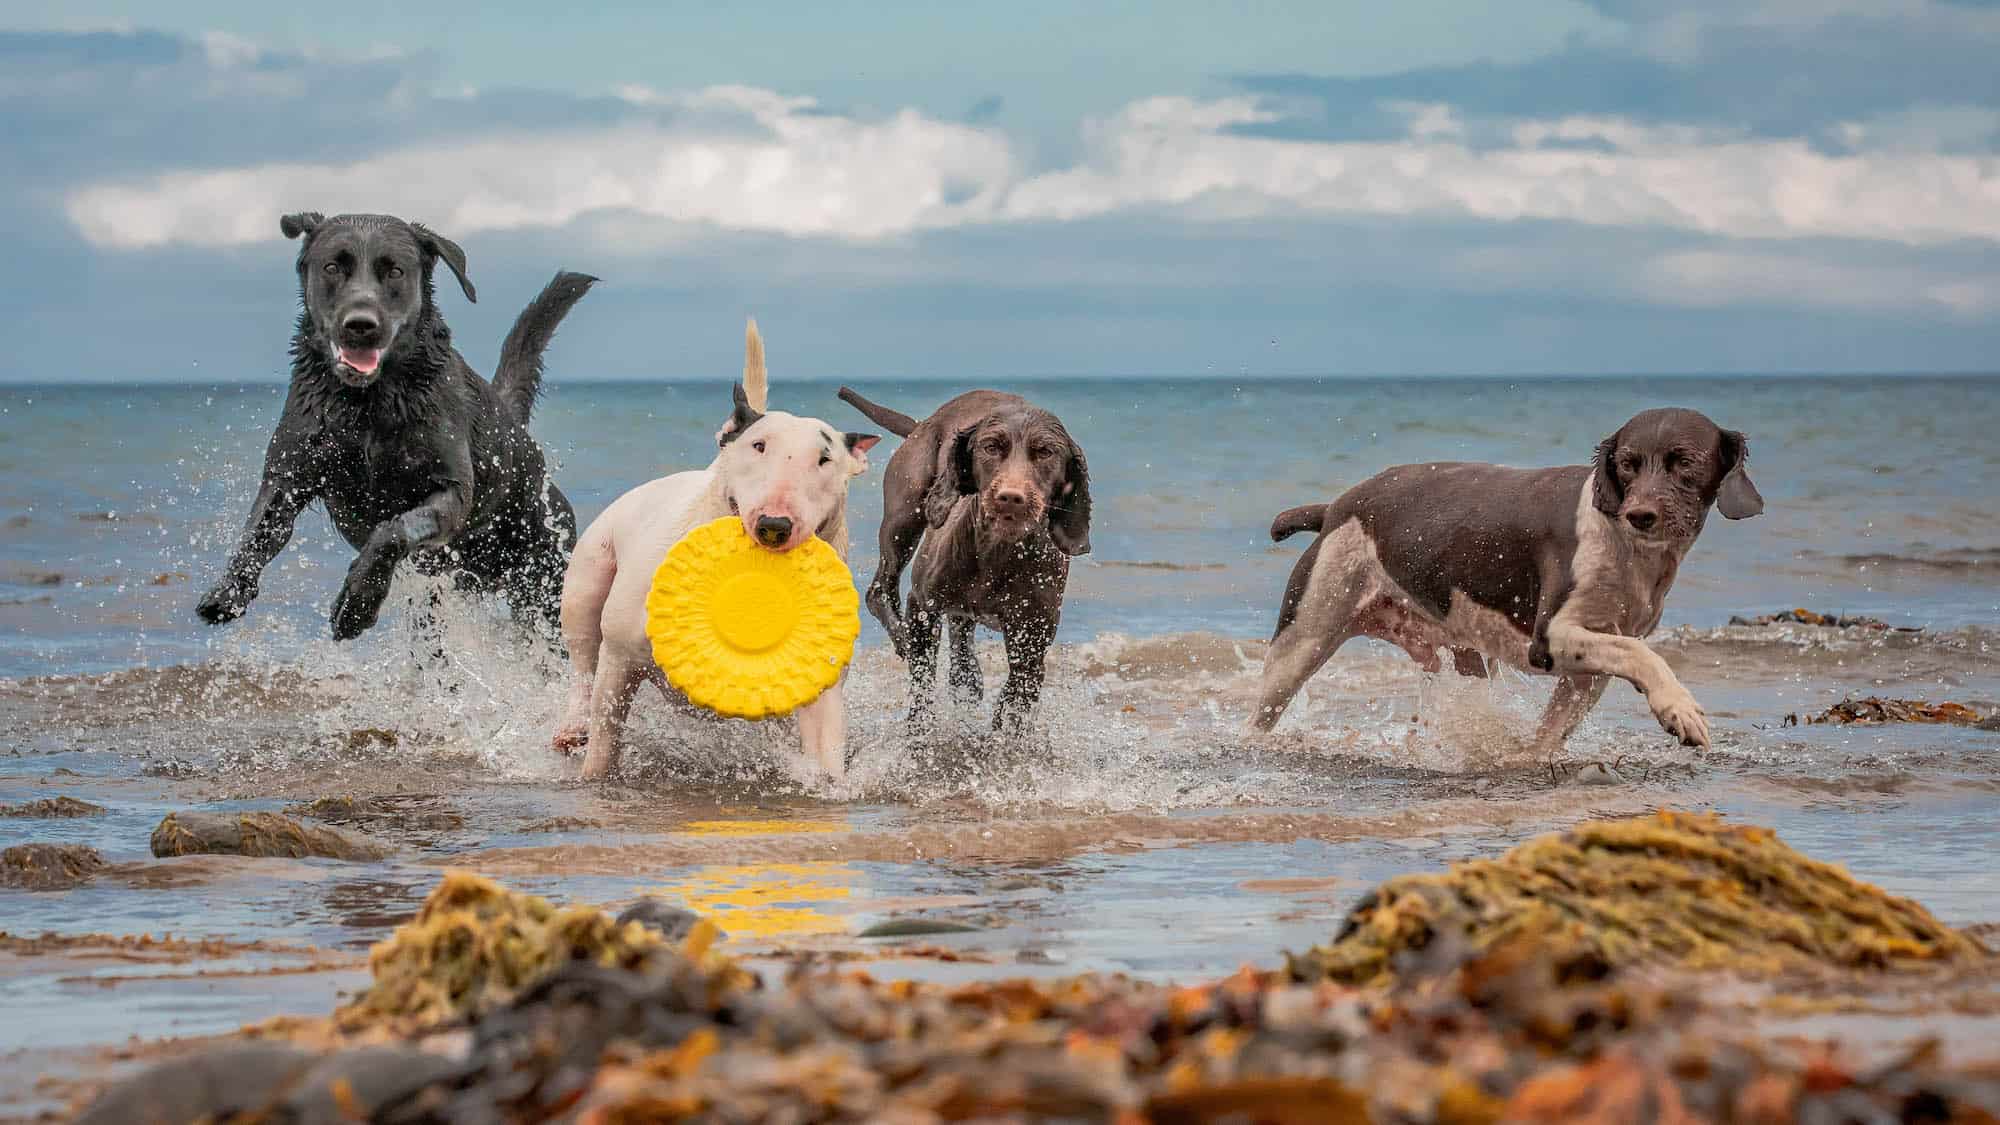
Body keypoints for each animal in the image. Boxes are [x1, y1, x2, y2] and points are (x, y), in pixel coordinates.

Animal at [199, 212, 596, 640]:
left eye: (395, 271)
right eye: (332, 267)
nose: (360, 324)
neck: (367, 404)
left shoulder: (451, 493)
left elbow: (394, 529)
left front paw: (357, 605)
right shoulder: (290, 471)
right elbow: (258, 530)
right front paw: (227, 591)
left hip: (544, 582)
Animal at [560, 322, 880, 780]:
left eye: (824, 459)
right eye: (759, 446)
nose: (774, 525)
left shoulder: (825, 683)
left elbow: (826, 745)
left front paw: (831, 783)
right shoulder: (619, 658)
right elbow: (605, 737)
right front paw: (593, 777)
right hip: (587, 578)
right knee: (582, 659)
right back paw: (572, 727)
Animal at [844, 384, 1096, 728]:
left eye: (1045, 452)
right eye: (990, 447)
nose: (1010, 498)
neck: (996, 552)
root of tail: (924, 422)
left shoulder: (1032, 639)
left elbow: (1014, 699)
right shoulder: (923, 606)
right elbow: (922, 682)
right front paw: (920, 732)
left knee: (962, 646)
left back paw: (967, 678)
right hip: (904, 517)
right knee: (879, 590)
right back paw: (902, 639)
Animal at [1256, 406, 1760, 748]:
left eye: (1685, 463)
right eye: (1627, 463)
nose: (1640, 515)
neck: (1624, 544)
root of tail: (1334, 507)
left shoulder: (1587, 673)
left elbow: (1548, 736)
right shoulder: (1551, 638)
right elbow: (1641, 655)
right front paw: (1679, 709)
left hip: (1463, 656)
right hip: (1301, 642)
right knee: (1259, 715)